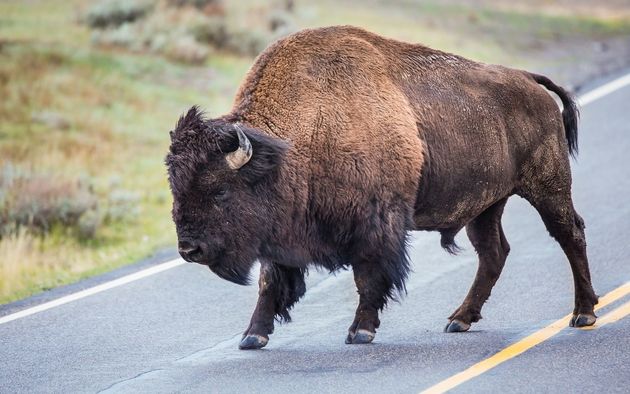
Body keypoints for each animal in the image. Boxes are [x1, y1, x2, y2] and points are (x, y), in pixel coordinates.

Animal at [165, 26, 600, 350]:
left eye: (220, 191)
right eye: (176, 189)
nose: (189, 250)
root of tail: (529, 79)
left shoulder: (375, 224)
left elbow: (368, 277)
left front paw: (360, 331)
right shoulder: (280, 234)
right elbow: (270, 281)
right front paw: (252, 337)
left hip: (547, 187)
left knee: (570, 234)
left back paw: (584, 312)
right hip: (486, 205)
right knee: (494, 253)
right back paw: (459, 320)